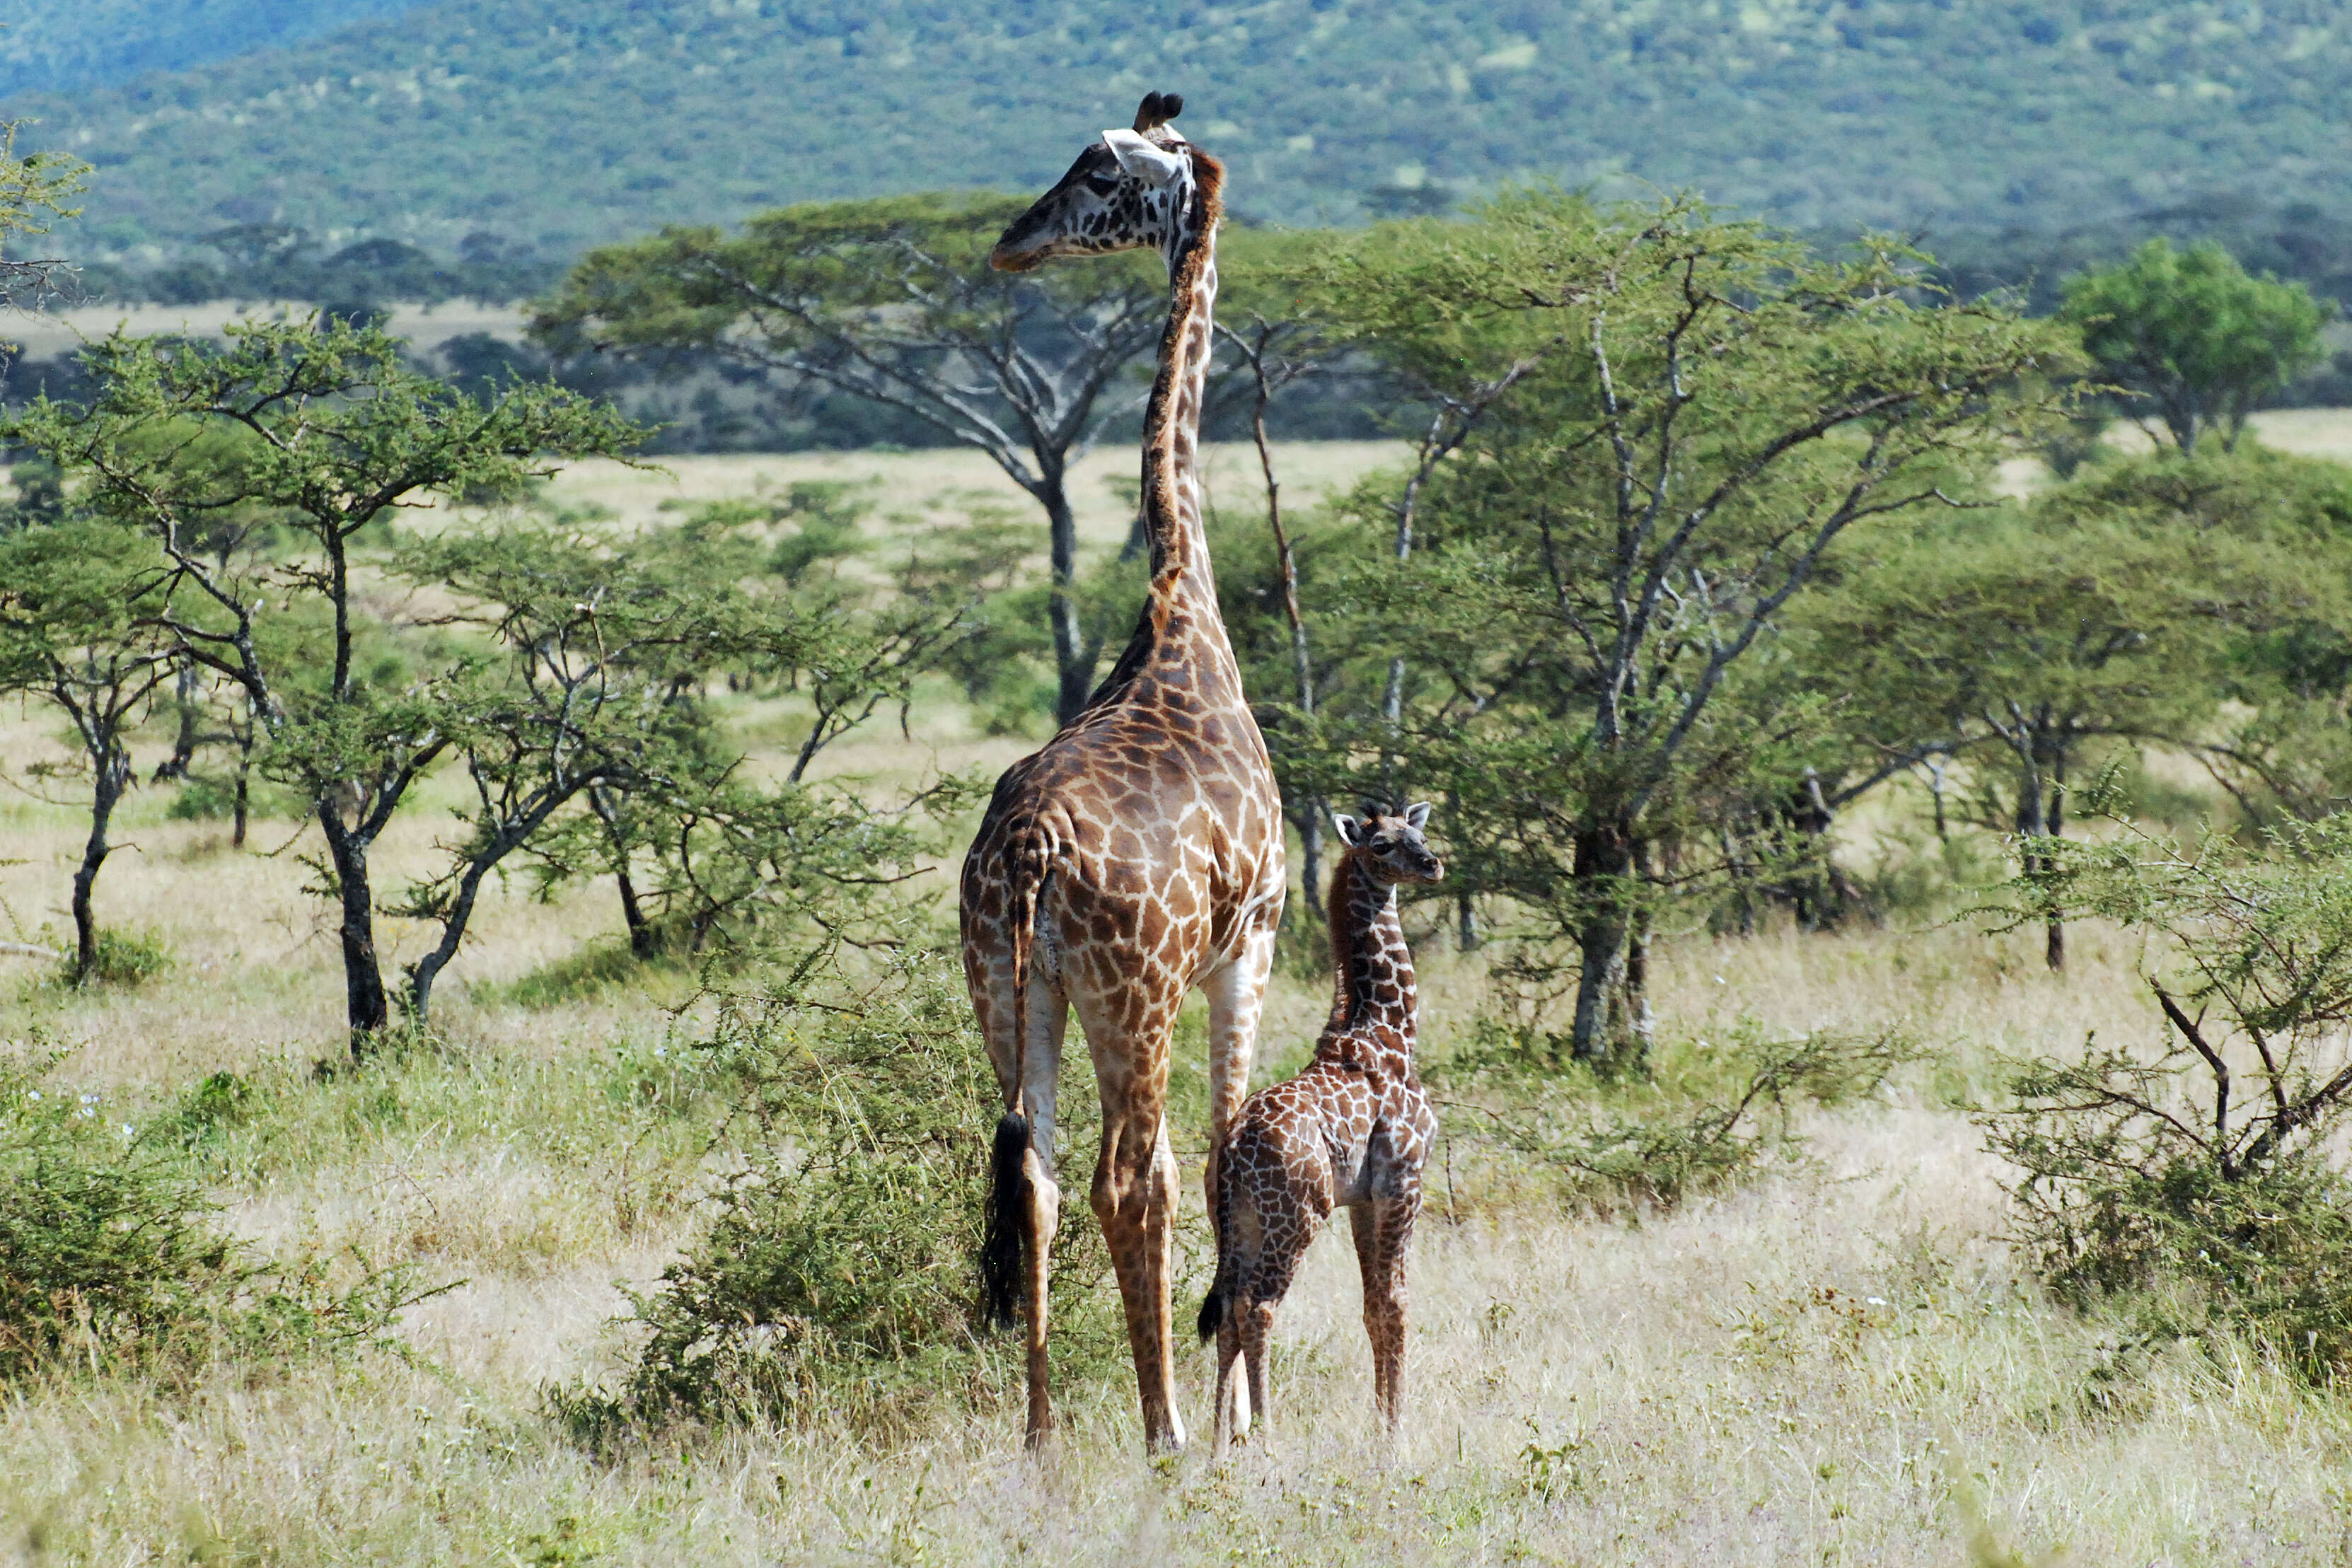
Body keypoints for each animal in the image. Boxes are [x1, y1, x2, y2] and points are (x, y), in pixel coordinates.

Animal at [1204, 803, 1439, 1457]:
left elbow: (1371, 1306)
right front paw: (1394, 1429)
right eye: (1382, 845)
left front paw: (1381, 1419)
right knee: (1257, 1306)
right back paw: (1265, 1433)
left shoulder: (1362, 1198)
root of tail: (1233, 1148)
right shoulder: (1404, 1182)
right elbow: (1396, 1303)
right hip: (1297, 1213)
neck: (1390, 1031)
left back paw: (1218, 1438)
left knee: (1226, 1305)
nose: (1433, 864)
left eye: (1419, 831)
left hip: (1240, 1220)